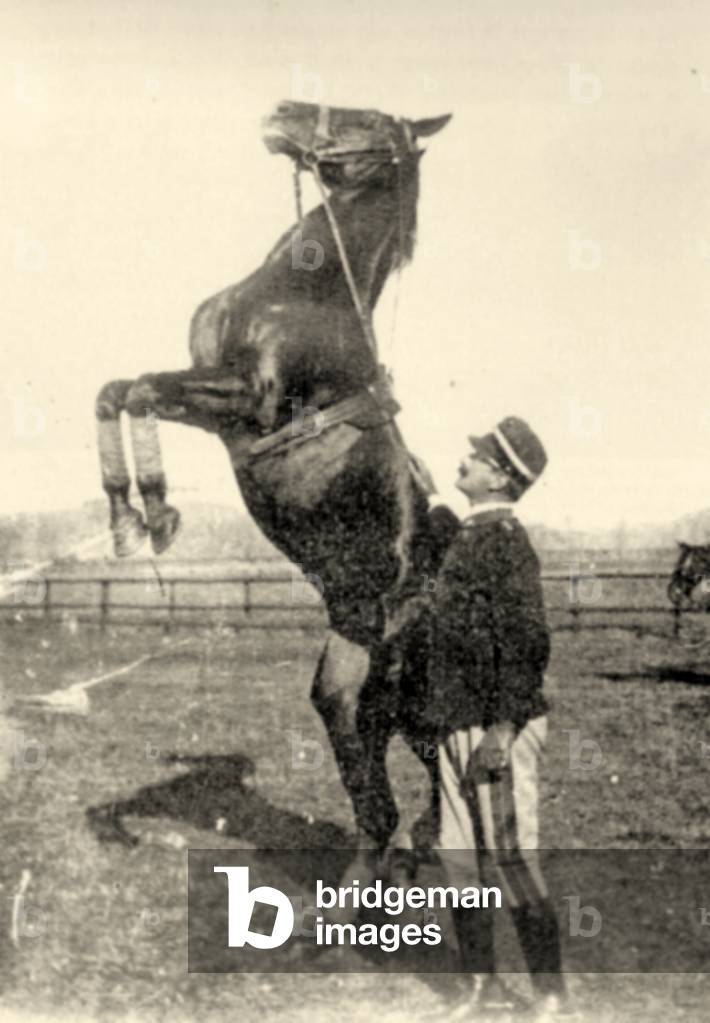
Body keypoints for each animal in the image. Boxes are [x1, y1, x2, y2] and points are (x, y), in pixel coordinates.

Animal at [95, 100, 452, 858]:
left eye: (369, 120)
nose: (284, 112)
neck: (307, 289)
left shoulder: (249, 401)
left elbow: (141, 390)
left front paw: (158, 515)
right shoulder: (211, 399)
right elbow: (118, 391)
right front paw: (128, 520)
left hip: (392, 688)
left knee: (412, 781)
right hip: (351, 679)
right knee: (385, 785)